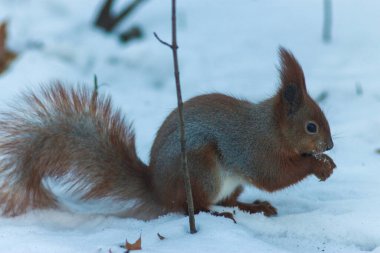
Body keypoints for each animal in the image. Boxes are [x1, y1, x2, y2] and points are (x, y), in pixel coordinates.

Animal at [0, 47, 336, 219]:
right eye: (311, 126)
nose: (330, 145)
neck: (271, 128)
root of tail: (157, 189)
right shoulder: (254, 148)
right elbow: (273, 176)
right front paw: (316, 164)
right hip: (201, 169)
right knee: (192, 207)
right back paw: (219, 213)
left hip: (227, 182)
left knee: (225, 201)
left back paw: (251, 206)